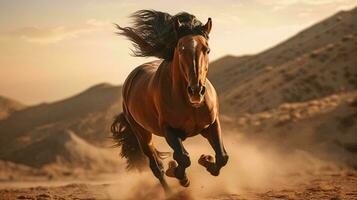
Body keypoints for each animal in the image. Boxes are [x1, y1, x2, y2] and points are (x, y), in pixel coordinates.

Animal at [111, 9, 228, 194]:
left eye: (207, 49)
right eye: (180, 49)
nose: (196, 91)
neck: (190, 104)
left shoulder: (211, 124)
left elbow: (222, 157)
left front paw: (206, 160)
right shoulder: (169, 131)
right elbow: (183, 158)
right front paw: (178, 174)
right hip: (142, 134)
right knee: (156, 167)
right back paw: (170, 191)